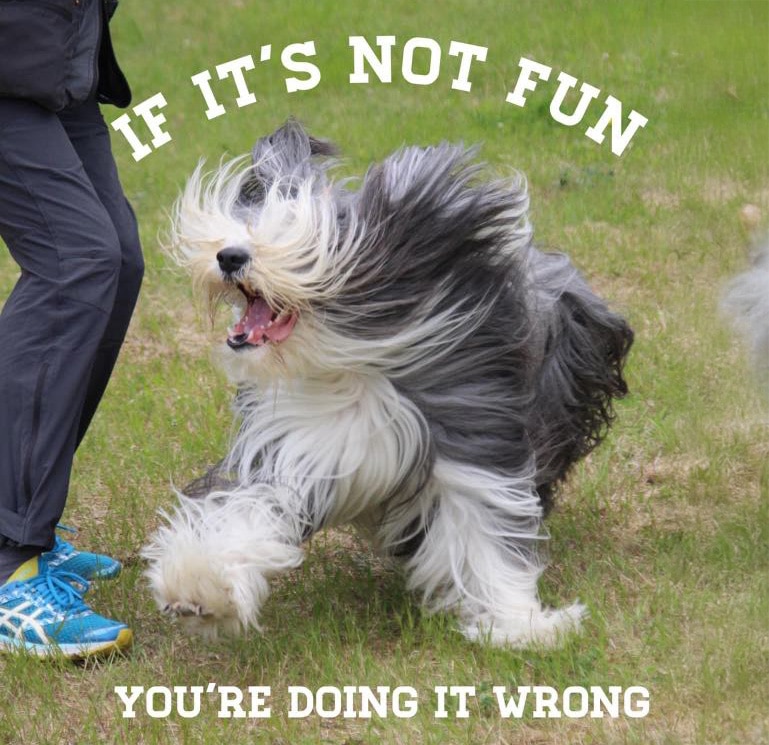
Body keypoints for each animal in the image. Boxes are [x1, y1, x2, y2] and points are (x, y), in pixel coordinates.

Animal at [143, 121, 633, 647]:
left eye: (310, 241)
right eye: (251, 217)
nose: (229, 255)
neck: (349, 368)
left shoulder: (472, 428)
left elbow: (484, 527)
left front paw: (518, 624)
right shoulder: (294, 445)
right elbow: (249, 510)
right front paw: (200, 584)